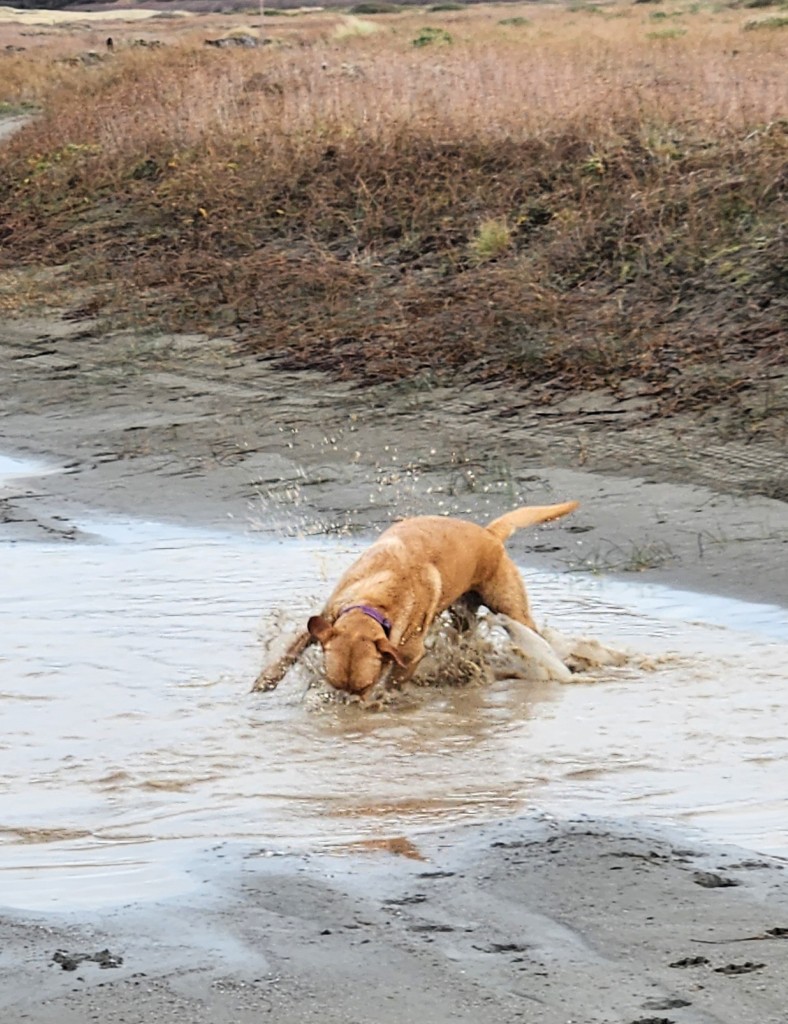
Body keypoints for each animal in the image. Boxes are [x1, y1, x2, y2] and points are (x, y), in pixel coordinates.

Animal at [251, 499, 577, 700]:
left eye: (366, 686)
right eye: (334, 683)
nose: (346, 707)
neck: (377, 600)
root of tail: (489, 535)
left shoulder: (409, 655)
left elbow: (394, 681)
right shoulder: (322, 620)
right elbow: (287, 654)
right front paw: (264, 682)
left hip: (511, 607)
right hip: (463, 614)